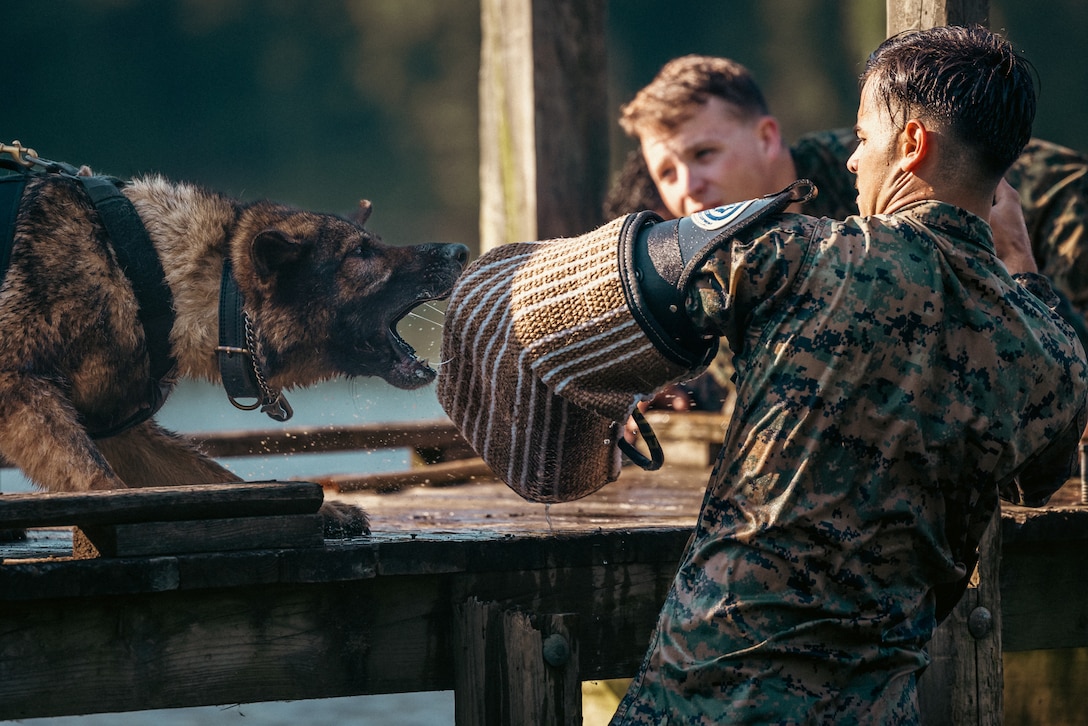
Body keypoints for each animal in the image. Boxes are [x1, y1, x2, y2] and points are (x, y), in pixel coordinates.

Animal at [0, 168, 467, 533]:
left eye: (374, 243)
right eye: (361, 253)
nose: (460, 251)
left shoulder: (118, 429)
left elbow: (215, 477)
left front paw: (320, 511)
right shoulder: (19, 388)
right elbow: (100, 482)